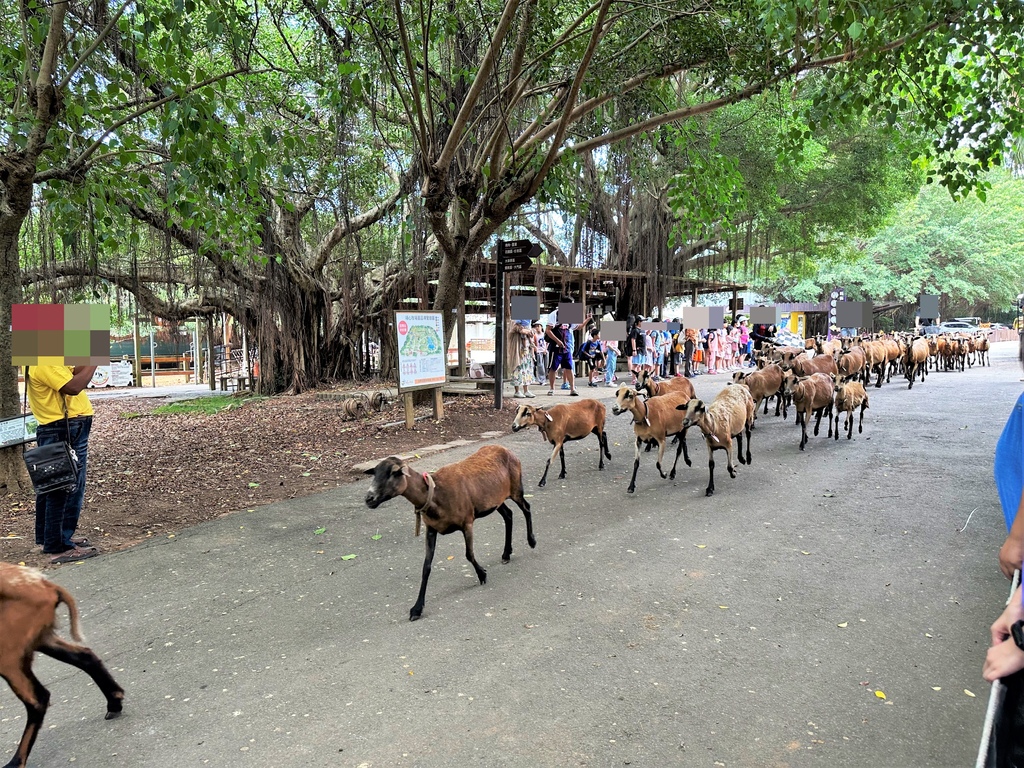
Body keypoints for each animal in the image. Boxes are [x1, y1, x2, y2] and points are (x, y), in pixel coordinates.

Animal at [1, 561, 123, 768]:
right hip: (39, 639)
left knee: (38, 699)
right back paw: (114, 702)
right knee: (85, 656)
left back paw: (16, 762)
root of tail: (46, 585)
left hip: (9, 655)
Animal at [364, 448, 536, 622]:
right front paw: (417, 608)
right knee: (508, 515)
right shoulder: (431, 529)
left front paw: (482, 574)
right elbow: (426, 567)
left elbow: (469, 554)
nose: (368, 499)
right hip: (495, 499)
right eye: (375, 473)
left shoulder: (467, 522)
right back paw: (506, 554)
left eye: (393, 473)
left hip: (516, 488)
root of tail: (505, 449)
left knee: (526, 508)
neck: (434, 494)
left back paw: (531, 541)